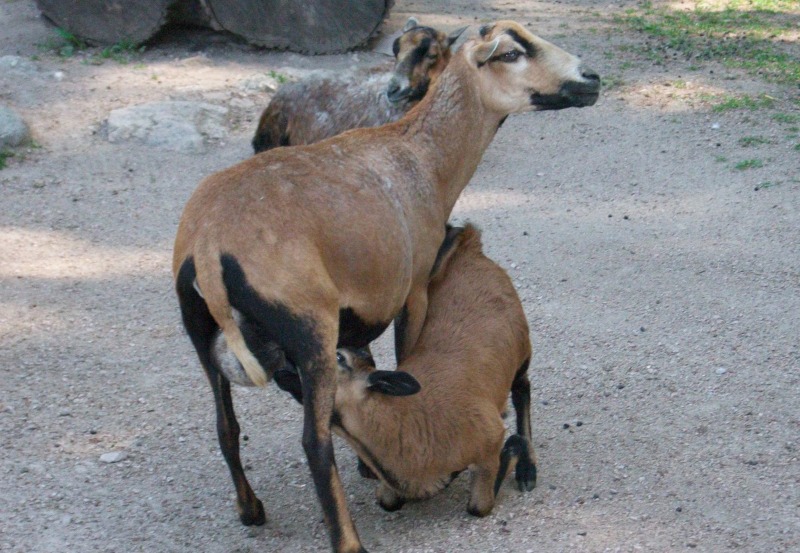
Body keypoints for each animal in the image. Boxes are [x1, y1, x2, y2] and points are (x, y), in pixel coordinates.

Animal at [328, 222, 536, 516]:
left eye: (339, 357)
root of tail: (470, 248)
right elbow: (387, 502)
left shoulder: (489, 441)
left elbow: (479, 506)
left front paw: (516, 450)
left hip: (521, 349)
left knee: (522, 389)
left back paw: (528, 468)